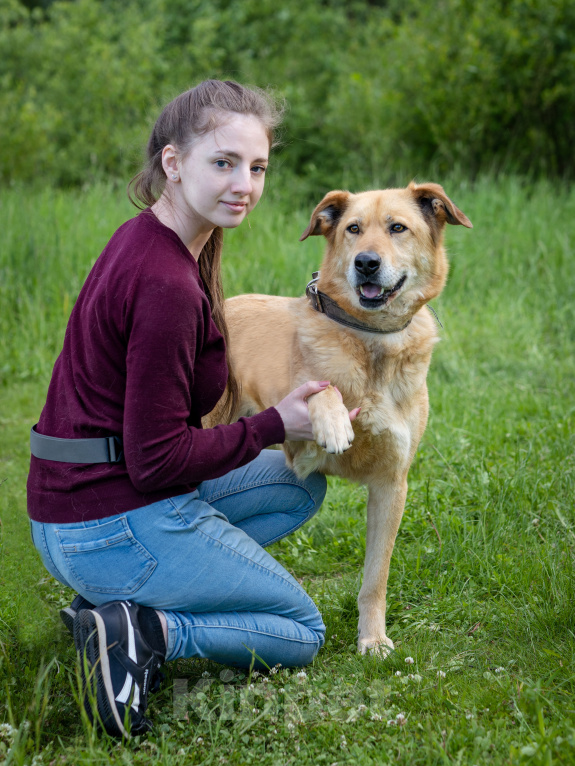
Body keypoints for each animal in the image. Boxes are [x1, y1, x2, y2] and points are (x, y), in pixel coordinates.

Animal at [220, 184, 472, 656]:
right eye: (353, 229)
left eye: (398, 228)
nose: (366, 262)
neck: (371, 339)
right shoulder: (298, 453)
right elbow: (324, 388)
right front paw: (336, 422)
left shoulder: (391, 484)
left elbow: (376, 577)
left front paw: (372, 639)